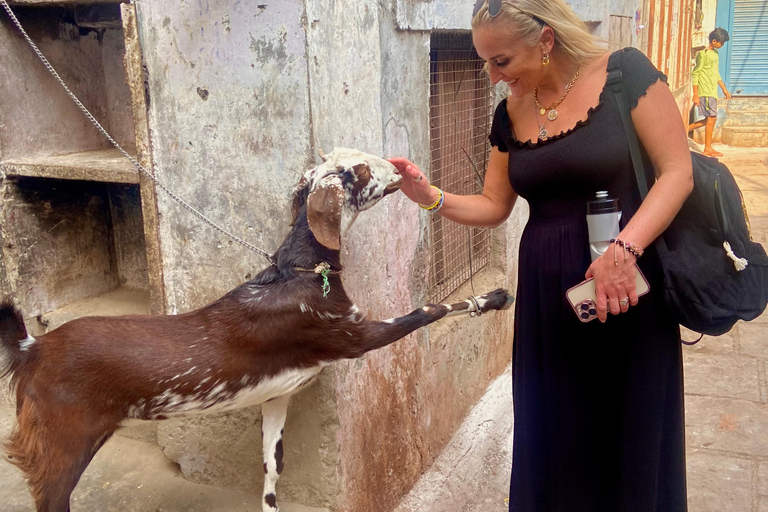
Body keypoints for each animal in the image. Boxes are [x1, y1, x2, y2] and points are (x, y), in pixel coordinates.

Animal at [1, 146, 516, 510]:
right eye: (359, 172)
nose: (395, 165)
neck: (301, 272)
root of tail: (30, 349)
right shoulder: (354, 336)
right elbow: (429, 310)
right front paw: (494, 299)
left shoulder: (276, 396)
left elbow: (272, 469)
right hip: (61, 443)